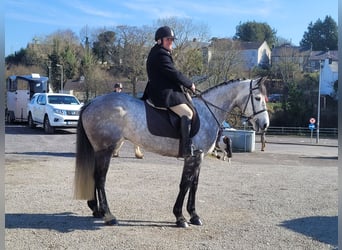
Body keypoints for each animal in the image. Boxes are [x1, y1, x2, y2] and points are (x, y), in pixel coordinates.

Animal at [74, 77, 270, 228]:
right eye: (258, 98)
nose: (265, 124)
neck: (208, 111)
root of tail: (92, 102)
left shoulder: (199, 157)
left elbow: (194, 185)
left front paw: (194, 215)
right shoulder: (193, 156)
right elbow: (185, 184)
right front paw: (180, 217)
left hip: (99, 151)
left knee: (95, 176)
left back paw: (96, 209)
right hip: (106, 150)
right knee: (100, 179)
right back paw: (109, 215)